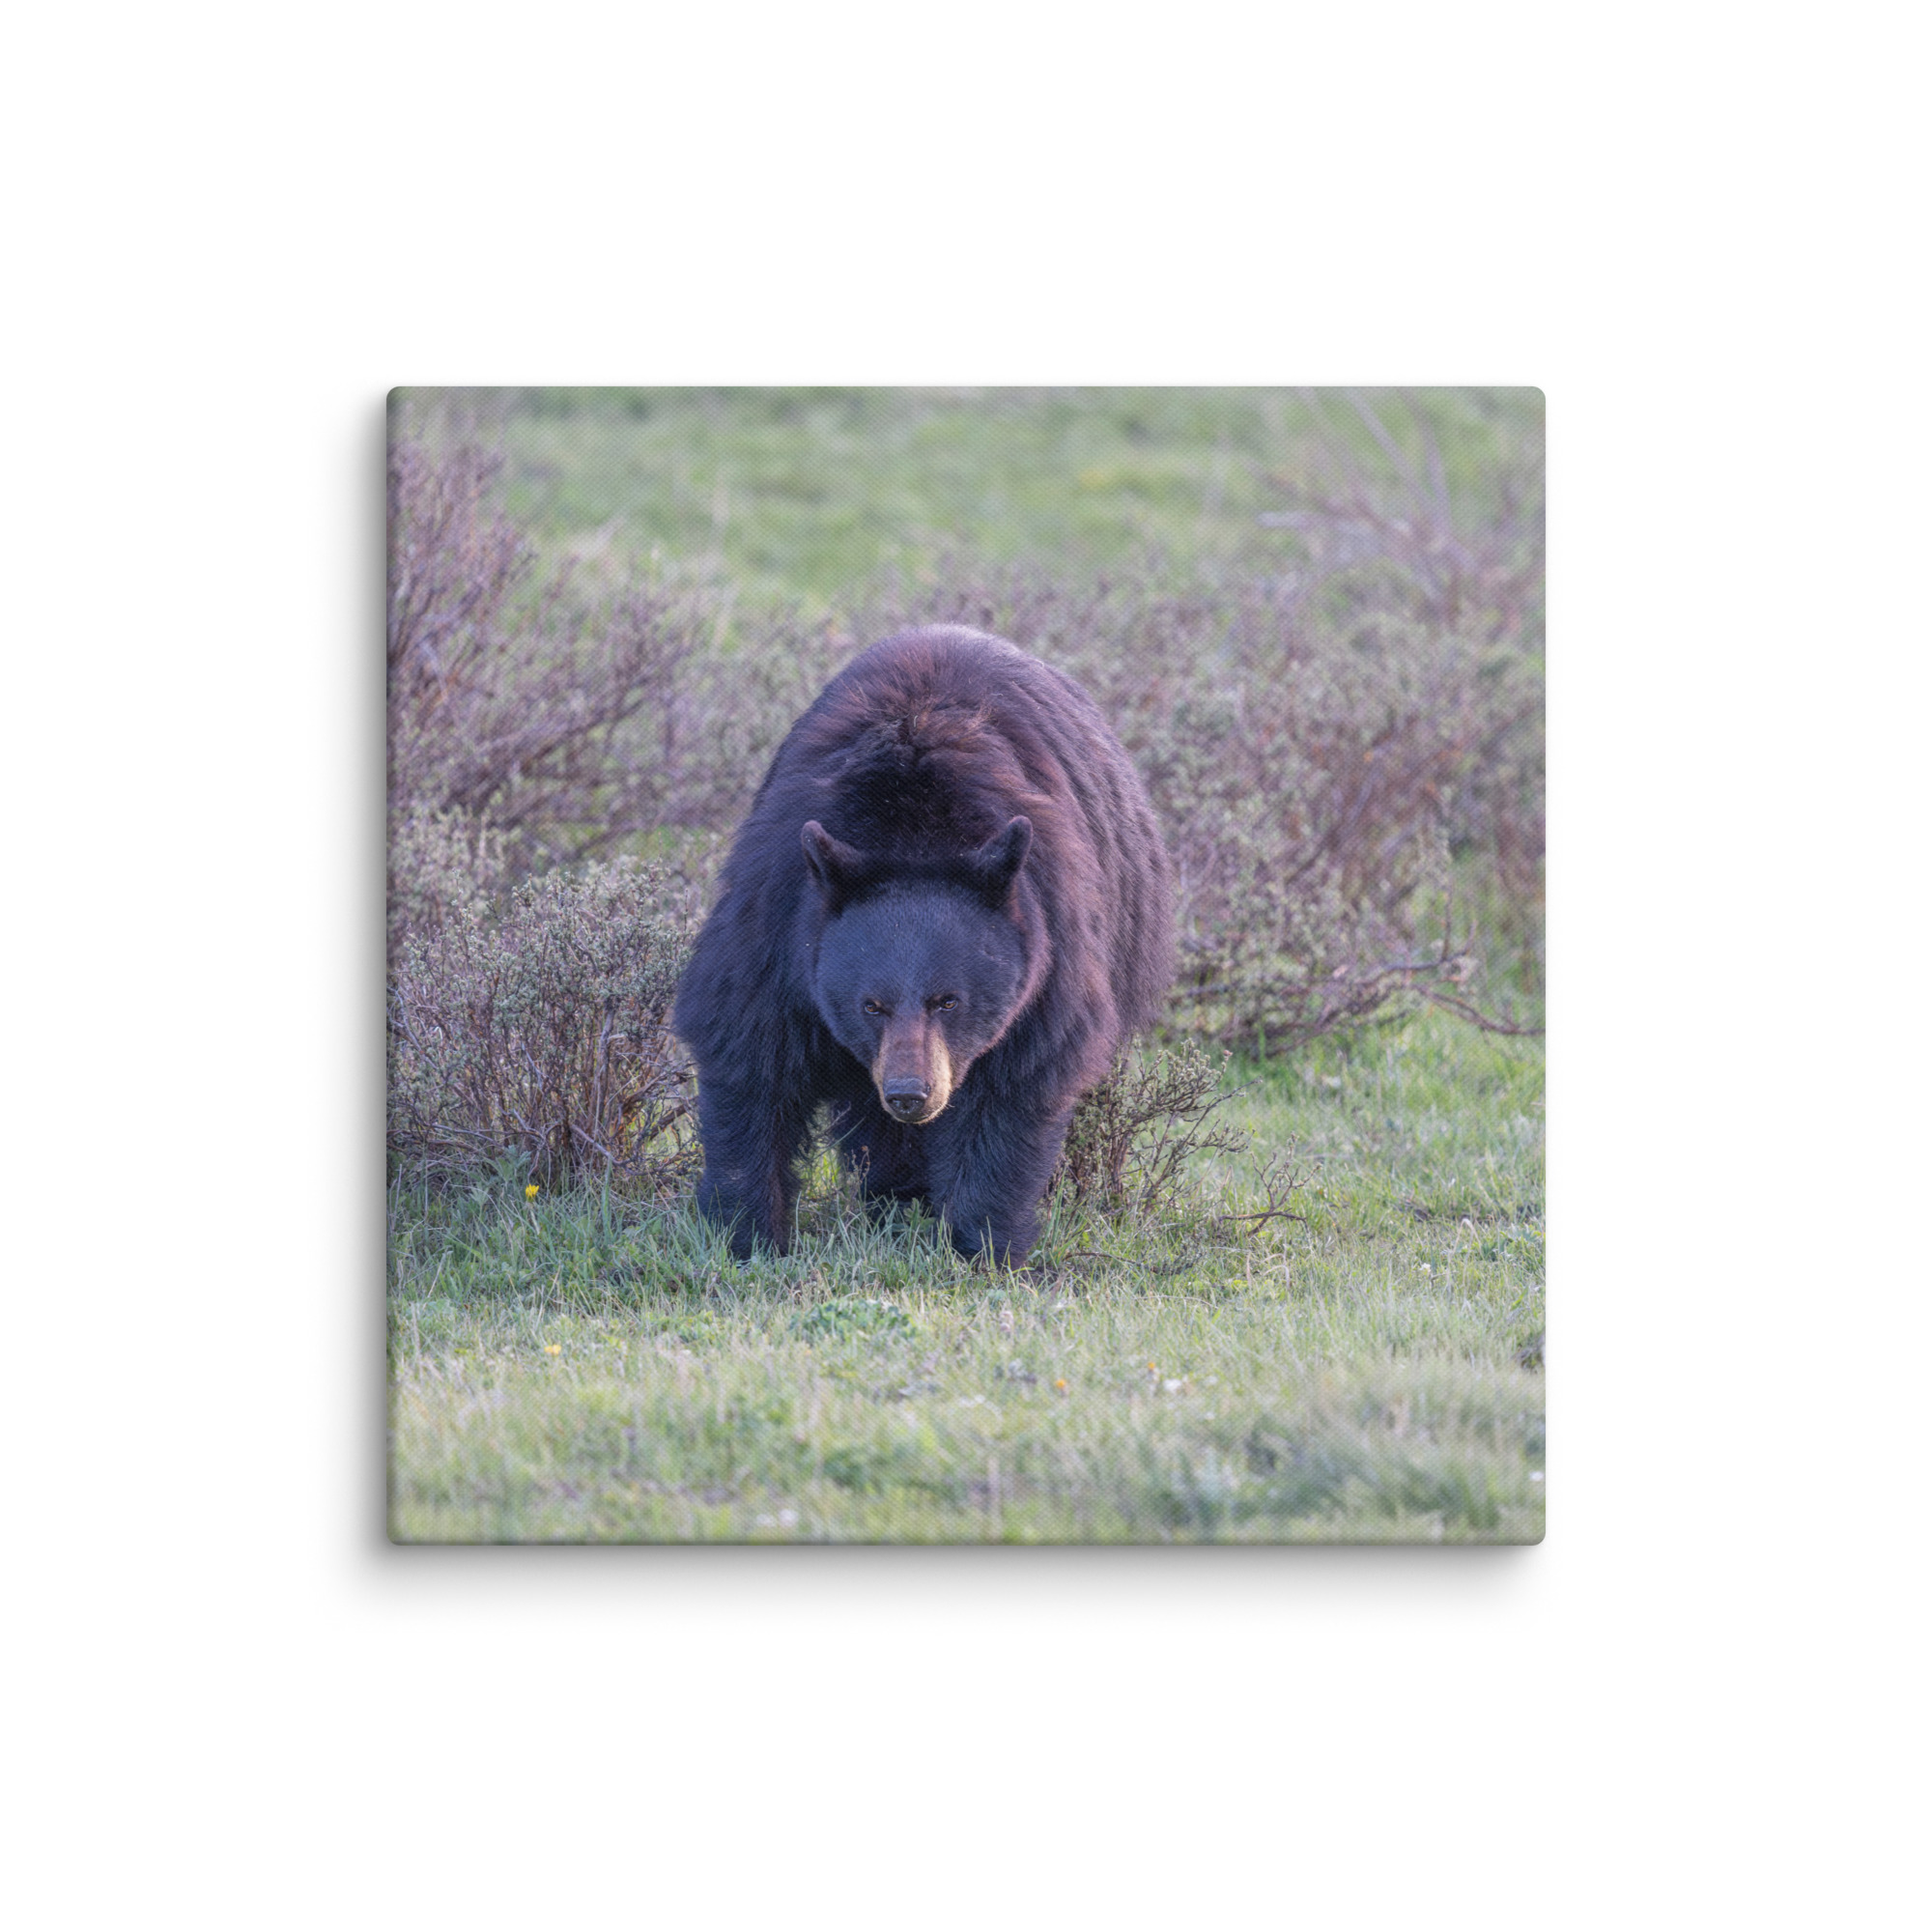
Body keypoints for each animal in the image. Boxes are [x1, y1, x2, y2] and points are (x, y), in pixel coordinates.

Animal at [672, 624, 1175, 1263]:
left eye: (949, 1000)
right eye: (871, 1005)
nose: (911, 1094)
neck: (912, 831)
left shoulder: (1049, 945)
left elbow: (1014, 1086)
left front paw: (983, 1244)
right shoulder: (779, 920)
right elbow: (749, 1054)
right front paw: (747, 1234)